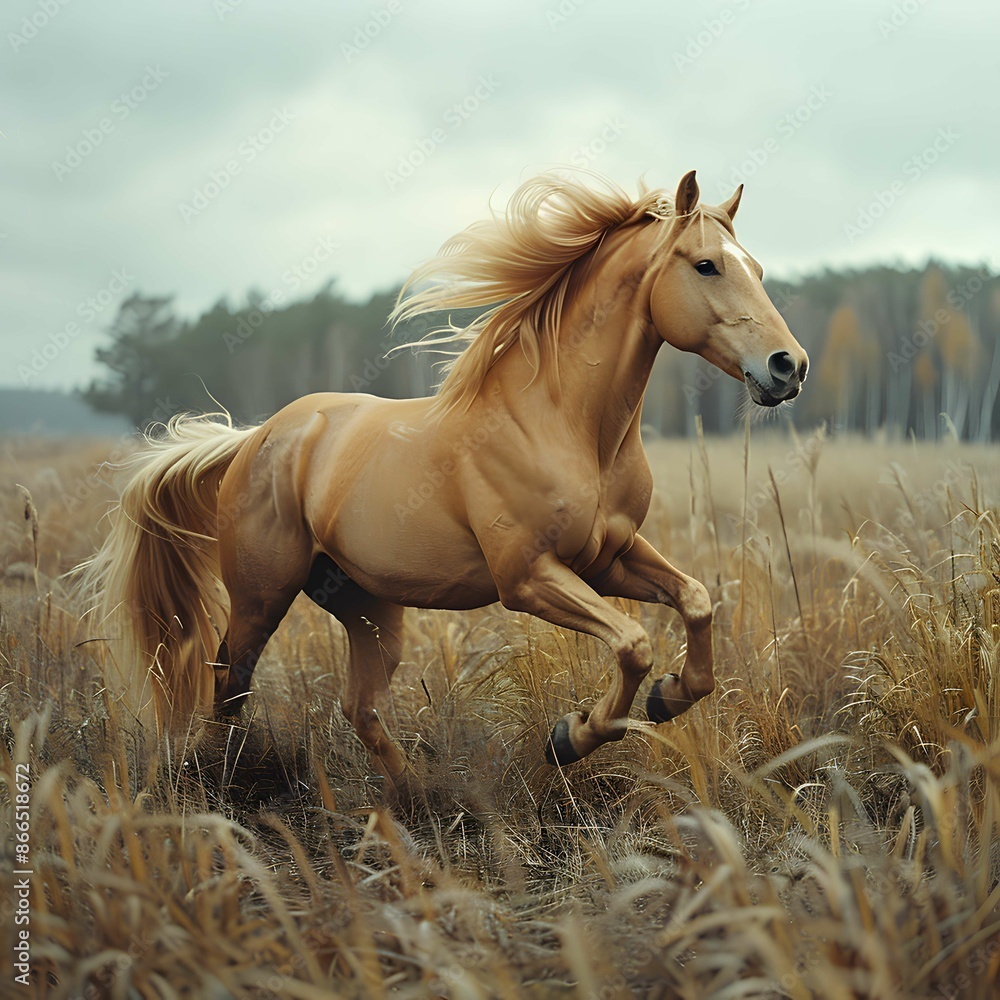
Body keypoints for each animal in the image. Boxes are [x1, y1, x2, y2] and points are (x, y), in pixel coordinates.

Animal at [81, 169, 808, 792]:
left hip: (368, 606)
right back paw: (223, 785)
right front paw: (571, 736)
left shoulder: (608, 558)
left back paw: (419, 800)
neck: (562, 425)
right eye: (706, 264)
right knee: (228, 682)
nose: (788, 366)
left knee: (361, 706)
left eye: (757, 268)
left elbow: (696, 602)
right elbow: (632, 645)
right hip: (263, 594)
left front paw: (667, 697)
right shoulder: (527, 577)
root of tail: (258, 439)